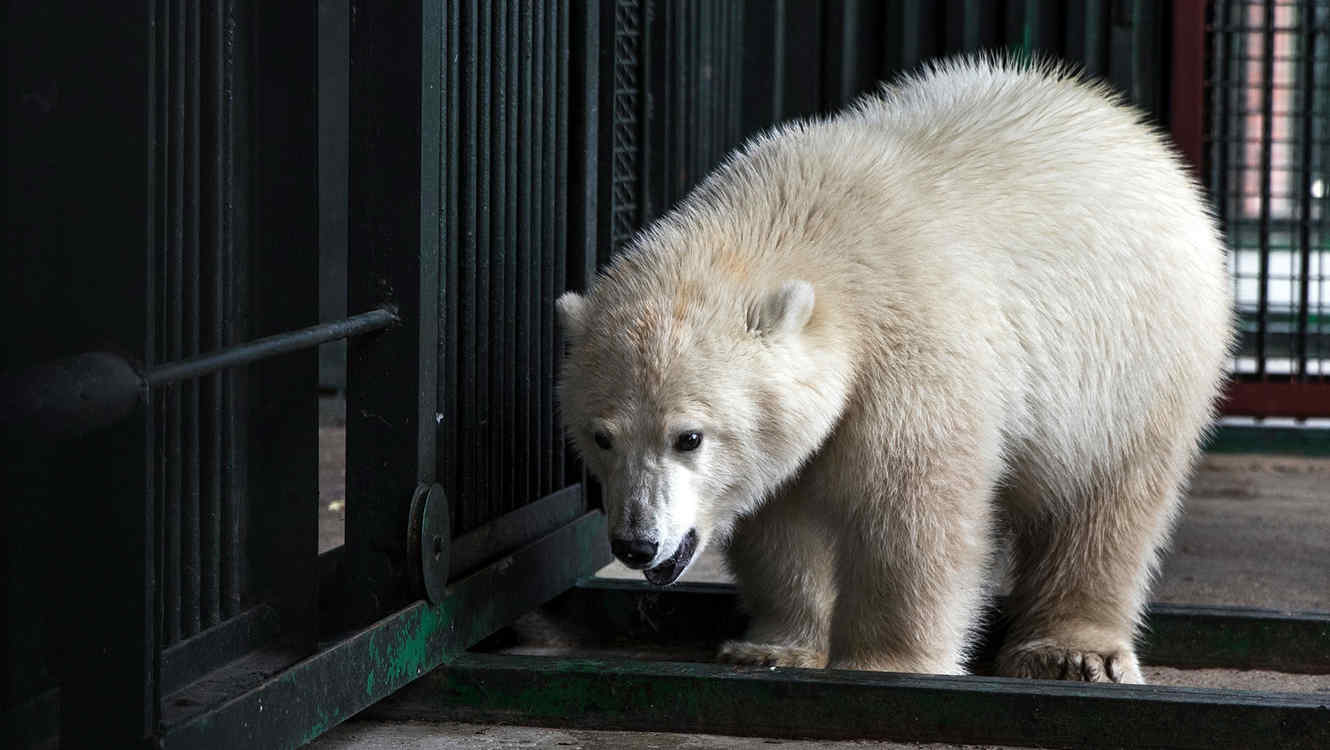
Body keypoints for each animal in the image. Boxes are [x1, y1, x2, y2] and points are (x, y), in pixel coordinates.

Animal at [554, 56, 1233, 683]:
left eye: (688, 437)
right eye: (602, 436)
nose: (636, 542)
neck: (806, 229)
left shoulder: (911, 349)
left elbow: (910, 511)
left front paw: (888, 663)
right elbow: (782, 514)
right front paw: (772, 646)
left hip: (1134, 360)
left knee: (1108, 503)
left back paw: (1071, 651)